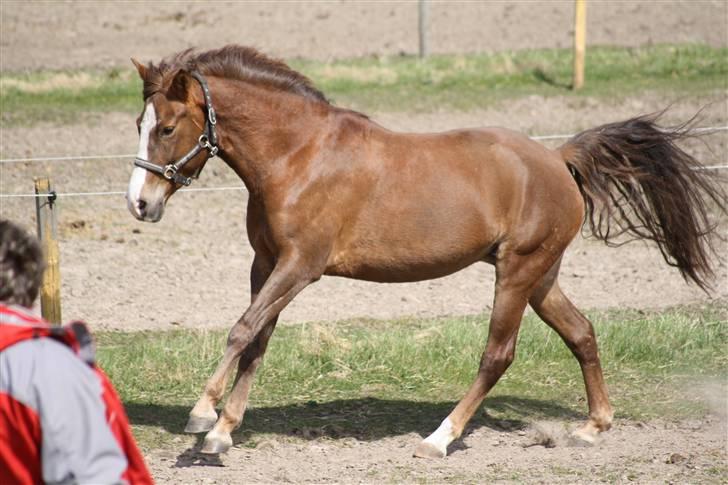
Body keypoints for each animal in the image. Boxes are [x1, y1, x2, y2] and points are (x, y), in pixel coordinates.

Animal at [126, 46, 724, 458]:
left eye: (168, 126)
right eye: (139, 123)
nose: (140, 203)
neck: (298, 156)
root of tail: (558, 159)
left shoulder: (301, 267)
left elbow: (242, 330)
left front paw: (202, 417)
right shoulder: (267, 265)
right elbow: (257, 341)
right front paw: (223, 433)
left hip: (518, 272)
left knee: (498, 354)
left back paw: (439, 438)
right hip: (542, 277)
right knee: (582, 333)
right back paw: (593, 426)